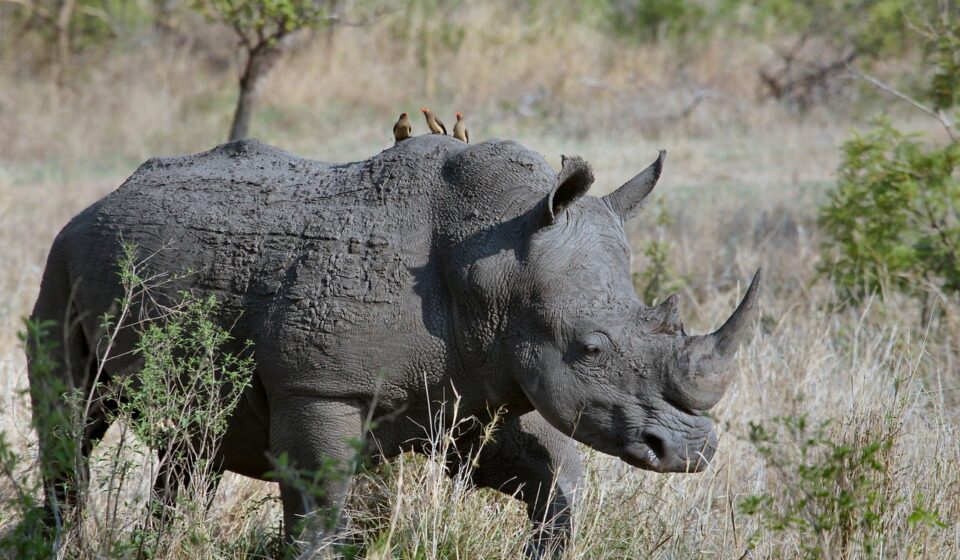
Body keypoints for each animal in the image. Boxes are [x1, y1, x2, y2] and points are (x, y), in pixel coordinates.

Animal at [28, 135, 760, 556]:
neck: (498, 264)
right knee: (72, 422)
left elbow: (555, 479)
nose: (691, 452)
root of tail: (103, 198)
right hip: (61, 258)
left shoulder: (477, 383)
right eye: (591, 346)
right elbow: (321, 510)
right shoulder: (320, 388)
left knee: (193, 446)